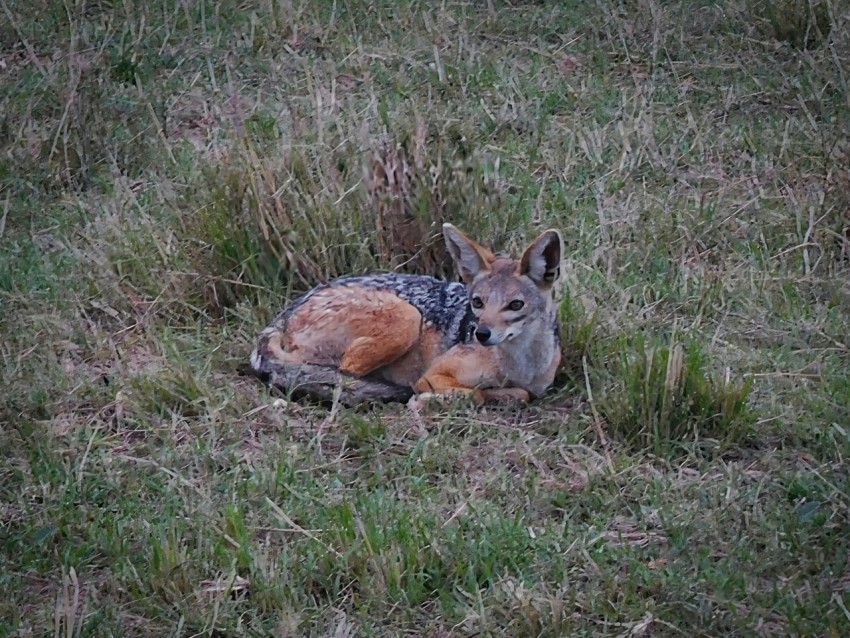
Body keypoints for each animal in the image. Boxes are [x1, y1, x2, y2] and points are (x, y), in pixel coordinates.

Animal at [247, 225, 564, 404]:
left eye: (515, 305)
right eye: (477, 302)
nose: (481, 334)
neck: (520, 367)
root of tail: (281, 317)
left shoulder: (535, 388)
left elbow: (522, 395)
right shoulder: (434, 375)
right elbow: (475, 394)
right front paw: (427, 401)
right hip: (407, 318)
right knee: (340, 372)